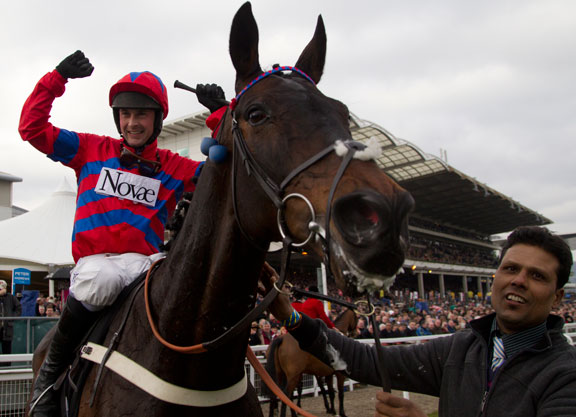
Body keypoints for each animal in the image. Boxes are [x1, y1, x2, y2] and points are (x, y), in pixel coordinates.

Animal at [30, 1, 414, 414]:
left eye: (342, 114)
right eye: (257, 113)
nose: (384, 217)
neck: (191, 363)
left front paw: (212, 100)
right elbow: (38, 133)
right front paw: (68, 68)